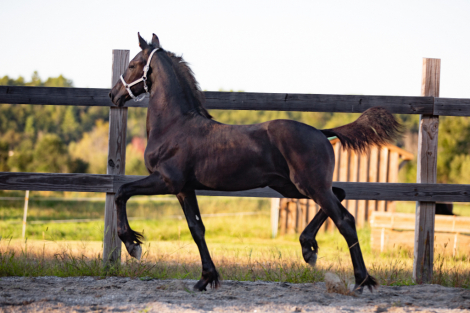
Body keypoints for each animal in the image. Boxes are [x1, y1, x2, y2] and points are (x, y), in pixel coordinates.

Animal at [109, 33, 400, 292]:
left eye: (132, 64)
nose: (113, 95)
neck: (174, 125)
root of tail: (321, 132)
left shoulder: (167, 181)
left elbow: (122, 192)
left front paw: (133, 244)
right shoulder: (185, 188)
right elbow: (197, 228)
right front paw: (206, 279)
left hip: (310, 186)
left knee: (345, 220)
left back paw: (362, 280)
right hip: (294, 187)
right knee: (339, 193)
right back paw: (308, 248)